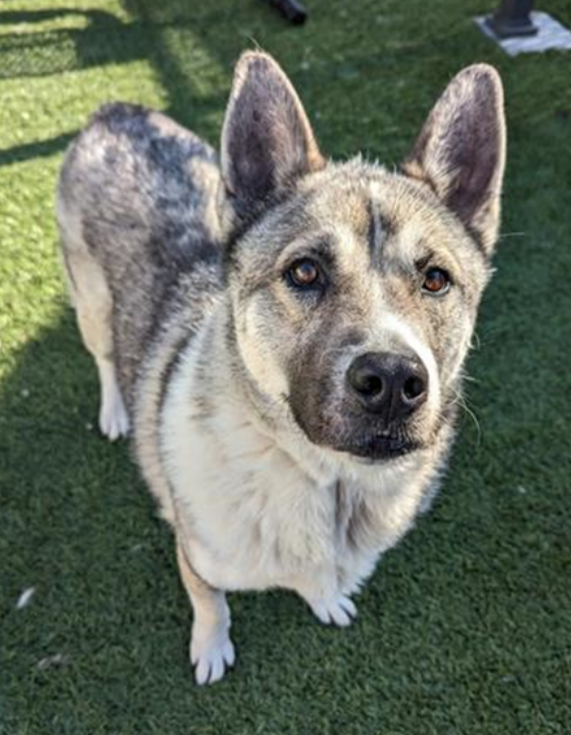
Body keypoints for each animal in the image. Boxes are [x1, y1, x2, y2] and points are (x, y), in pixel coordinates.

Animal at [55, 50, 508, 684]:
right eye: (305, 271)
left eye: (436, 279)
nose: (394, 382)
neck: (328, 486)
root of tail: (115, 111)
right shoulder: (196, 555)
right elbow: (210, 601)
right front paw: (211, 649)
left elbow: (316, 585)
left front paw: (326, 599)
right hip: (91, 304)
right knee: (102, 355)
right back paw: (116, 412)